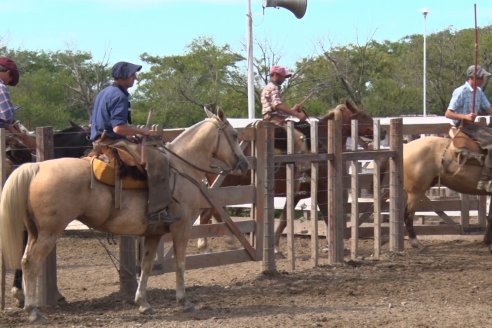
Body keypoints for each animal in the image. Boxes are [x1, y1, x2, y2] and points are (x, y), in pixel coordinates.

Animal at [198, 100, 378, 254]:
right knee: (208, 212)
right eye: (362, 115)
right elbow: (326, 216)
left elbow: (285, 218)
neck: (322, 142)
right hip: (221, 185)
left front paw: (276, 246)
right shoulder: (319, 191)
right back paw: (205, 245)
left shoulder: (300, 194)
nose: (380, 132)